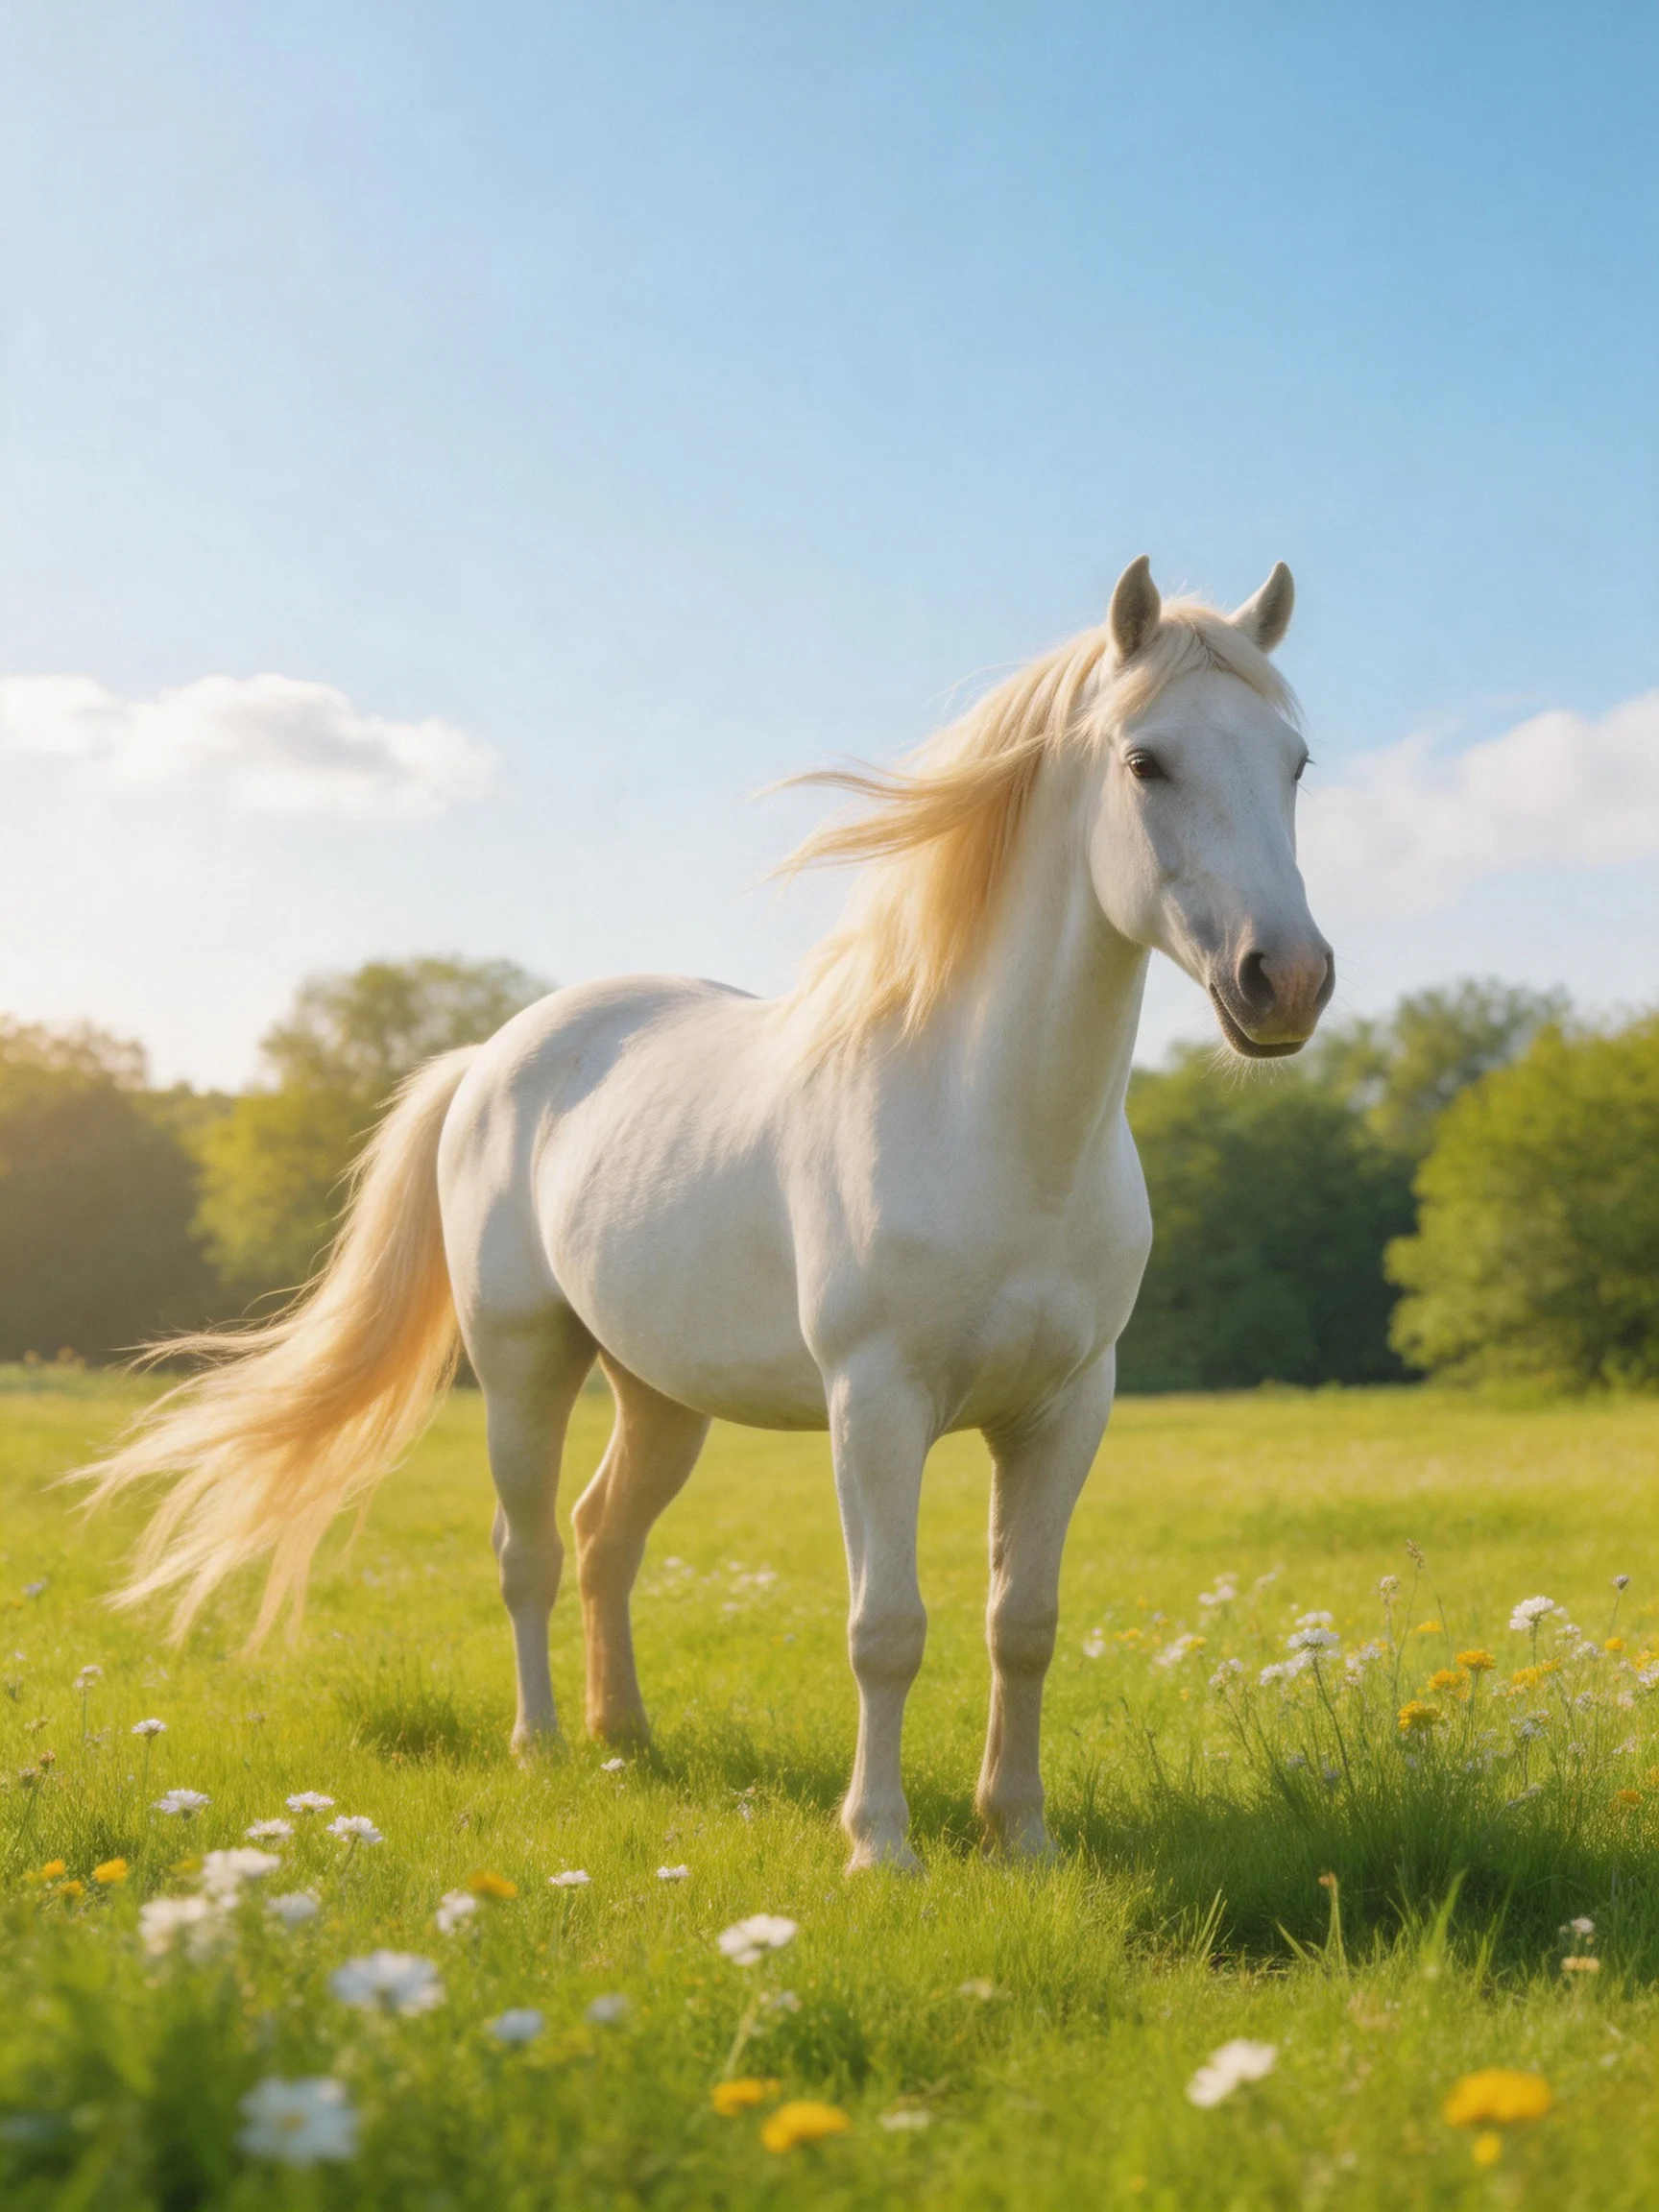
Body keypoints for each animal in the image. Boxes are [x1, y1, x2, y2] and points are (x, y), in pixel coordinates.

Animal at [82, 555, 1333, 1871]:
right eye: (1147, 761)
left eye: (1296, 762)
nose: (1287, 980)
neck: (992, 1125)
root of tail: (492, 1057)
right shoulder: (875, 1406)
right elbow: (887, 1626)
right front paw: (880, 1846)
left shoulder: (1066, 1409)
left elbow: (1024, 1623)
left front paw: (1022, 1837)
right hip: (523, 1365)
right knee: (529, 1550)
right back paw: (540, 1744)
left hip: (660, 1395)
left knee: (604, 1536)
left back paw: (625, 1736)